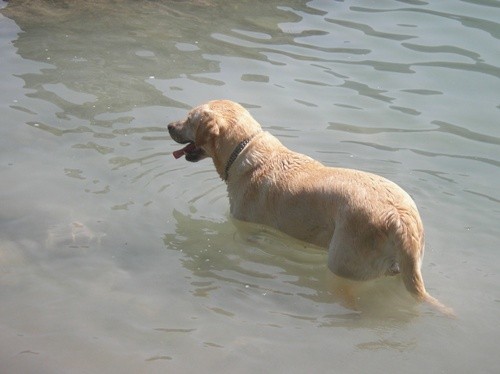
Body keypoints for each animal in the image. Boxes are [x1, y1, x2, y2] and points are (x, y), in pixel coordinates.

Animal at [168, 99, 454, 316]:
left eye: (190, 118)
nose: (169, 125)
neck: (242, 152)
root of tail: (399, 217)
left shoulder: (247, 227)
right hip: (402, 264)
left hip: (343, 263)